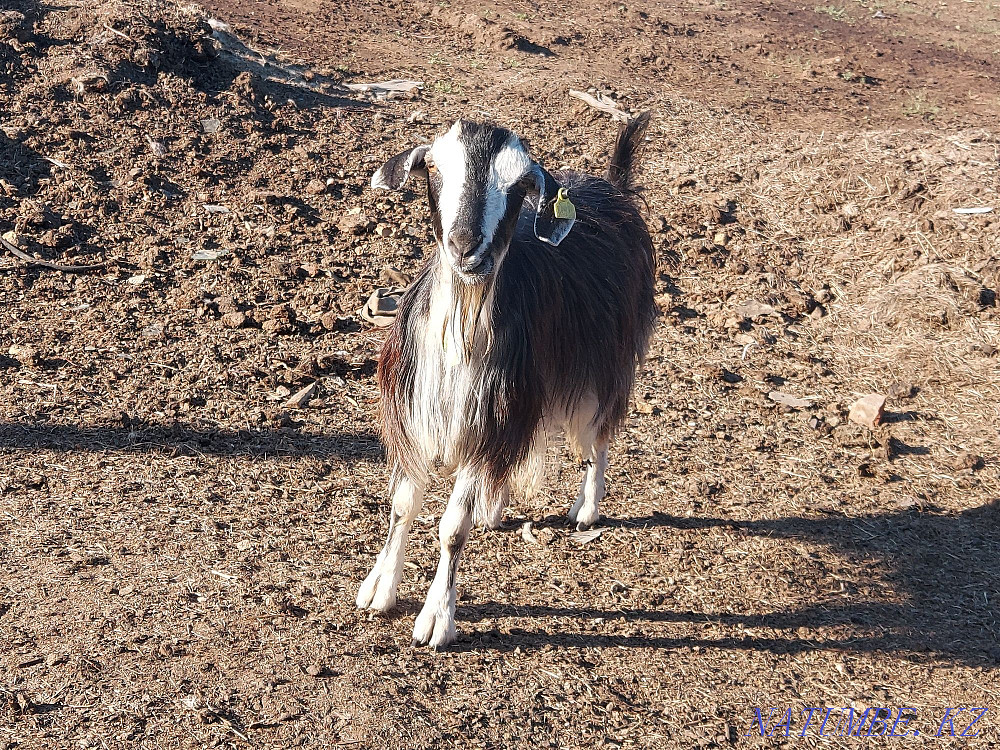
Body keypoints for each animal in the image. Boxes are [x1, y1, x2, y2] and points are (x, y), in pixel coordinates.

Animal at [357, 113, 656, 648]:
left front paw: (436, 618)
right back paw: (495, 505)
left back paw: (586, 507)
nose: (466, 248)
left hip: (604, 363)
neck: (460, 329)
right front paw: (379, 587)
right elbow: (403, 506)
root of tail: (614, 188)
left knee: (599, 434)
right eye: (433, 167)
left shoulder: (490, 421)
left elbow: (452, 528)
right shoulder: (418, 415)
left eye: (521, 186)